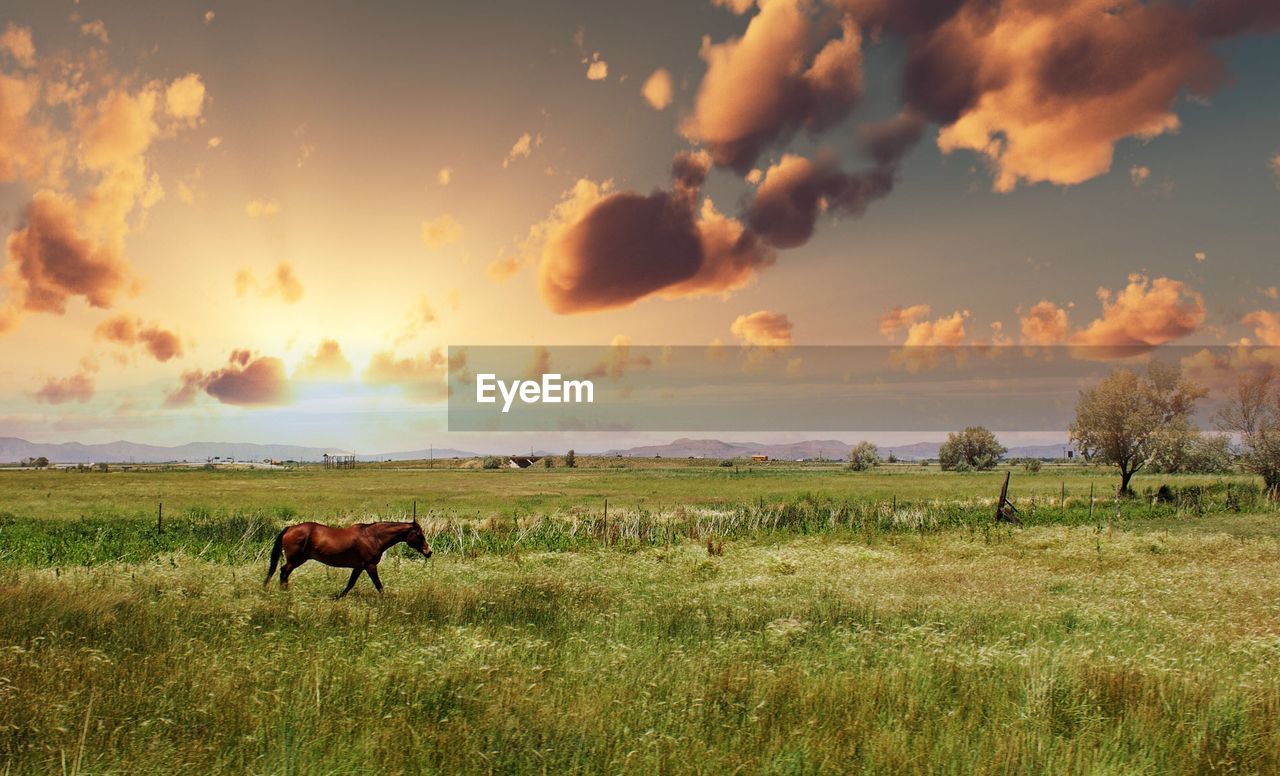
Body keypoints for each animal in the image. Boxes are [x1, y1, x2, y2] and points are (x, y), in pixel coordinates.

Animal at [264, 522, 435, 601]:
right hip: (296, 559)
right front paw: (386, 600)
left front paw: (338, 597)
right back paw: (285, 593)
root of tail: (290, 528)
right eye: (419, 534)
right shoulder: (370, 566)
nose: (429, 551)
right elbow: (378, 585)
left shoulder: (359, 567)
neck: (374, 537)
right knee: (283, 571)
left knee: (284, 572)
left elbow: (350, 584)